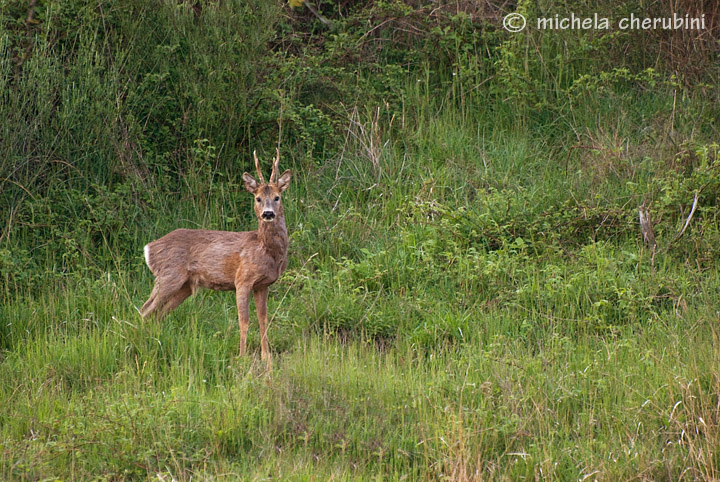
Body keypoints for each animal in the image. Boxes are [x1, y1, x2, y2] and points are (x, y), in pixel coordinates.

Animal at [141, 149, 290, 368]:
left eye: (277, 197)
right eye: (258, 198)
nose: (268, 214)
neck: (265, 250)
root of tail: (149, 248)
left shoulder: (262, 285)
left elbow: (263, 319)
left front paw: (266, 357)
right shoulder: (242, 280)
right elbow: (244, 320)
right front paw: (242, 357)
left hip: (184, 287)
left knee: (158, 313)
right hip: (168, 276)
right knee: (146, 310)